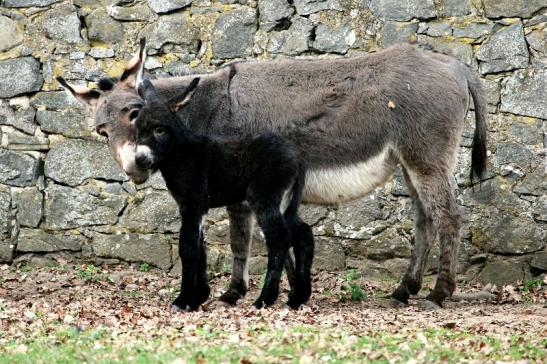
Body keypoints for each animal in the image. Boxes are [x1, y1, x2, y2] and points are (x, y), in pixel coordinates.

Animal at [133, 79, 314, 310]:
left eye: (159, 129)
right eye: (137, 129)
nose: (140, 160)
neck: (181, 154)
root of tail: (297, 156)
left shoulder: (192, 205)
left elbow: (187, 248)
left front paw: (183, 300)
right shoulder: (198, 208)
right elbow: (200, 248)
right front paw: (198, 297)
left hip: (264, 198)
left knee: (279, 239)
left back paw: (264, 299)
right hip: (284, 201)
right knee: (303, 233)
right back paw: (298, 297)